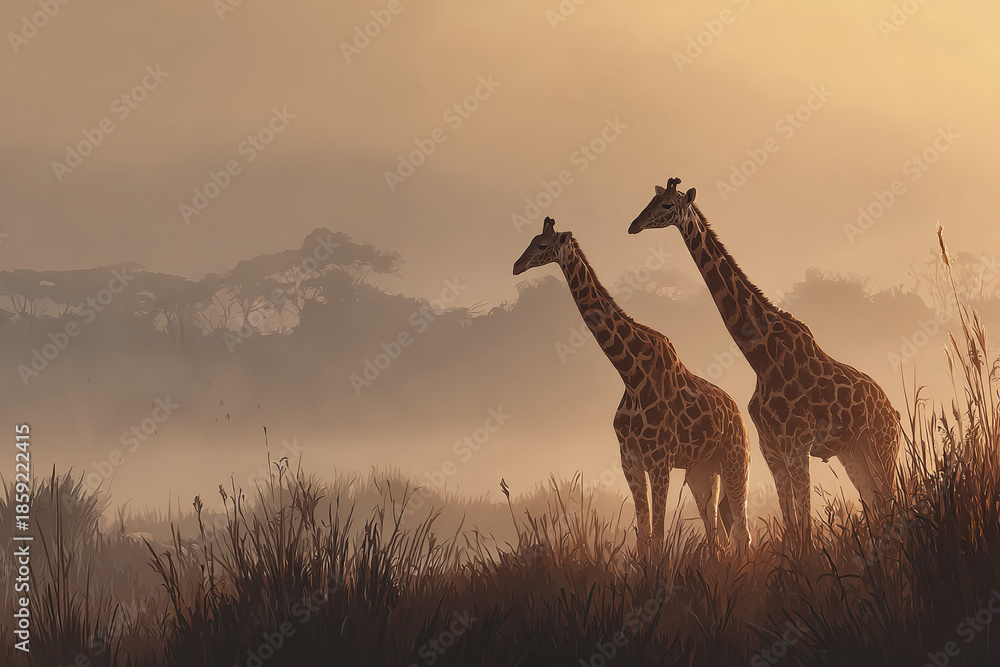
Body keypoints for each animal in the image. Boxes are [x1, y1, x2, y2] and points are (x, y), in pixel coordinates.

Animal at [513, 217, 752, 555]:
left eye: (543, 245)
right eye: (531, 240)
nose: (516, 265)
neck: (631, 375)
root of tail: (737, 413)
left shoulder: (660, 461)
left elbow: (658, 537)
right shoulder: (631, 462)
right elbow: (643, 540)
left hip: (734, 460)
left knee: (741, 533)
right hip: (702, 471)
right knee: (716, 536)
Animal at [627, 178, 901, 543]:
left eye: (668, 205)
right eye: (651, 200)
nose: (634, 225)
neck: (759, 354)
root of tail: (893, 412)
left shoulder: (797, 446)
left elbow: (805, 526)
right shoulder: (772, 450)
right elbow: (792, 526)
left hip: (882, 446)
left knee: (893, 500)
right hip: (852, 452)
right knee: (876, 503)